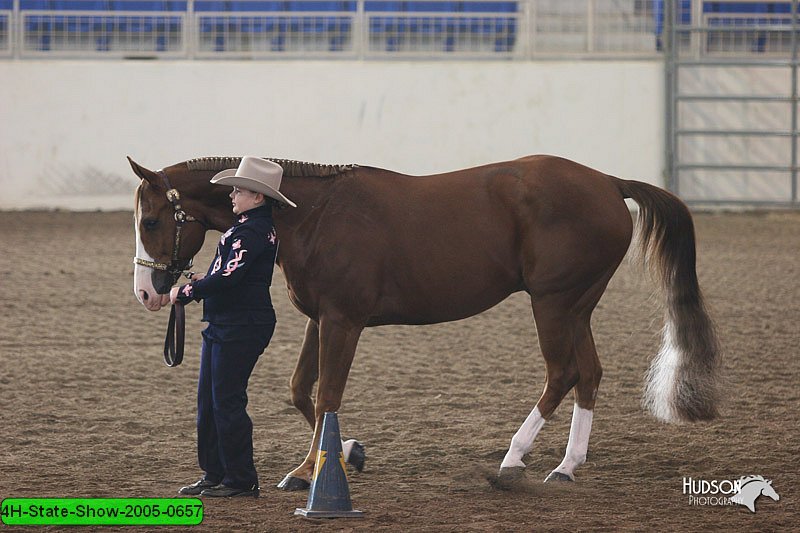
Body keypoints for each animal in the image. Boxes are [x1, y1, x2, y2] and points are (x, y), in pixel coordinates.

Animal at [130, 153, 720, 486]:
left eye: (153, 220)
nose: (148, 292)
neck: (312, 216)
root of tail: (608, 182)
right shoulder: (321, 319)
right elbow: (303, 391)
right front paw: (348, 452)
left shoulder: (344, 321)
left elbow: (326, 395)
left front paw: (308, 471)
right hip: (578, 306)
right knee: (589, 375)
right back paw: (566, 466)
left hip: (552, 303)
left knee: (563, 373)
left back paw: (514, 458)